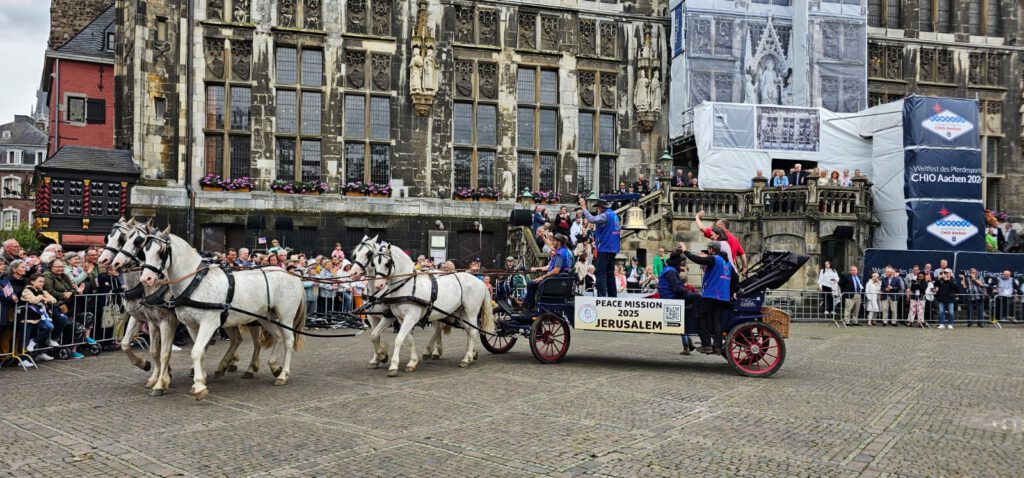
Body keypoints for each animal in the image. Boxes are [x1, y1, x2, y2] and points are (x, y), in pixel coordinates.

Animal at [135, 228, 307, 401]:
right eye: (144, 251)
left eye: (161, 252)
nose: (146, 278)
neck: (195, 282)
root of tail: (291, 275)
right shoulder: (191, 326)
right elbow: (200, 352)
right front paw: (200, 380)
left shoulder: (208, 323)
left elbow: (195, 352)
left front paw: (199, 387)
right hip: (265, 317)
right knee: (277, 337)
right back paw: (273, 366)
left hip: (285, 317)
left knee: (288, 341)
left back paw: (283, 375)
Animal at [352, 241, 495, 376]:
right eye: (374, 262)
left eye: (387, 263)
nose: (379, 284)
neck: (406, 286)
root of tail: (480, 281)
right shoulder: (399, 318)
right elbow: (402, 338)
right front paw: (410, 362)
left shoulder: (404, 317)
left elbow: (398, 339)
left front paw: (393, 365)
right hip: (460, 314)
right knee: (465, 331)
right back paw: (469, 354)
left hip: (471, 312)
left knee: (473, 332)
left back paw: (466, 358)